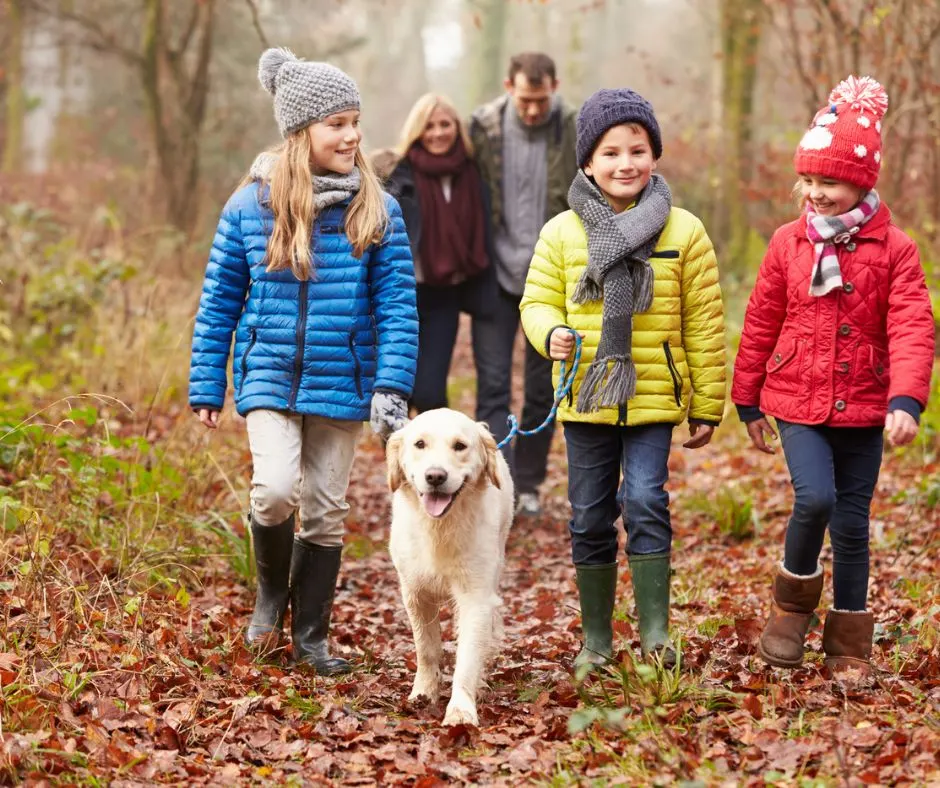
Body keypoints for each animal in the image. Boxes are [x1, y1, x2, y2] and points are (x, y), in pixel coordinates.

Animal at [384, 410, 510, 728]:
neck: (439, 527)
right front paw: (423, 694)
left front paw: (461, 710)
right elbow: (427, 649)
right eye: (419, 444)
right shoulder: (415, 594)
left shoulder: (475, 597)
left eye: (460, 446)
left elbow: (467, 656)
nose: (435, 476)